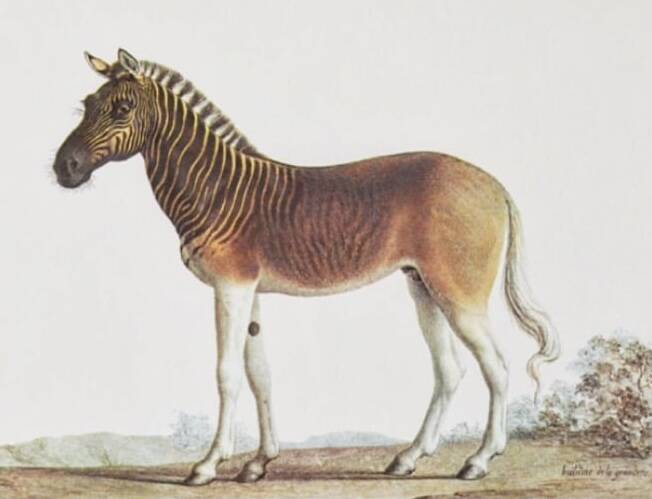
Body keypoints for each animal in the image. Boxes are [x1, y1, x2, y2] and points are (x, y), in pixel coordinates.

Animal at [53, 49, 559, 486]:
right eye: (86, 105)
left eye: (121, 108)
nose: (63, 168)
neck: (216, 190)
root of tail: (494, 185)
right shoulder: (250, 291)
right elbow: (260, 374)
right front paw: (259, 463)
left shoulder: (230, 287)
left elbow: (227, 373)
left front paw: (208, 465)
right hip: (423, 286)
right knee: (450, 370)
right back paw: (409, 458)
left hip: (459, 293)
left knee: (497, 366)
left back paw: (479, 461)